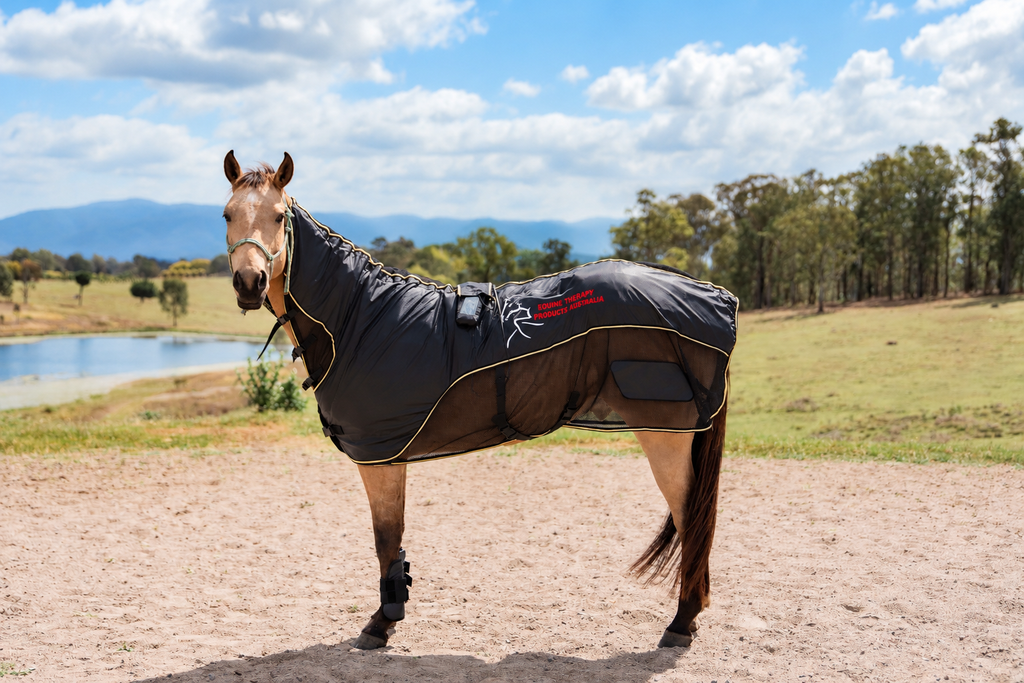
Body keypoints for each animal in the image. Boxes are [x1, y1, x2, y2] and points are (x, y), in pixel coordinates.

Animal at [221, 151, 734, 651]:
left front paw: (380, 625)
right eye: (227, 214)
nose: (249, 281)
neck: (359, 319)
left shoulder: (379, 458)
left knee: (692, 521)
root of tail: (714, 298)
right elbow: (394, 542)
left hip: (665, 435)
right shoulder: (388, 457)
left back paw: (681, 622)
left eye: (278, 215)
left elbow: (385, 541)